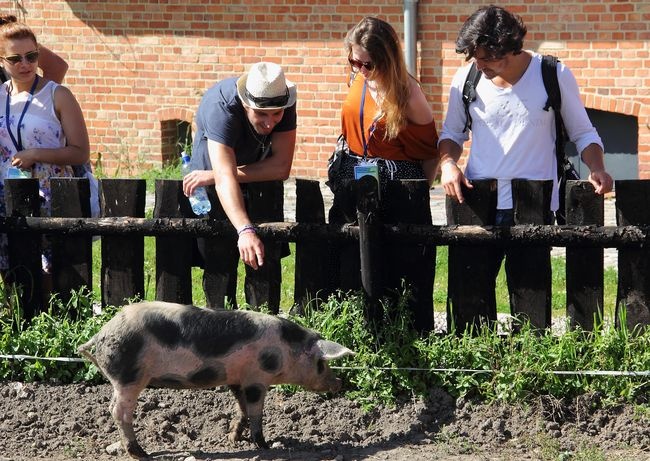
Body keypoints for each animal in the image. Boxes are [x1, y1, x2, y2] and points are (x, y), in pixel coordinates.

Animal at [79, 300, 354, 458]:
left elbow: (241, 408)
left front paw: (233, 438)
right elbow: (256, 411)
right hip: (129, 377)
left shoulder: (236, 378)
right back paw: (141, 453)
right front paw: (264, 445)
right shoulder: (257, 378)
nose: (339, 383)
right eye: (321, 363)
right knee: (118, 411)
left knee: (113, 408)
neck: (285, 350)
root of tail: (100, 335)